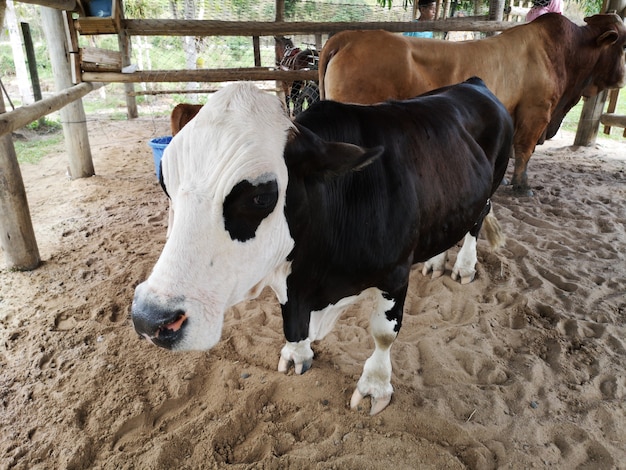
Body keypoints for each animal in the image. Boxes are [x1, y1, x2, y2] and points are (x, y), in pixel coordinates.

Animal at [132, 80, 512, 414]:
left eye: (261, 197)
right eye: (165, 182)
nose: (150, 318)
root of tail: (473, 83)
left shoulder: (395, 273)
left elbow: (383, 333)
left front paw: (375, 386)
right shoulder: (290, 279)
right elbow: (291, 322)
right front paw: (297, 354)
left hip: (490, 186)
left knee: (477, 221)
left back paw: (463, 266)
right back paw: (435, 261)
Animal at [320, 12, 620, 194]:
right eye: (623, 45)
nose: (620, 77)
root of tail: (350, 36)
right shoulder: (537, 112)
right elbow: (525, 149)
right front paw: (522, 186)